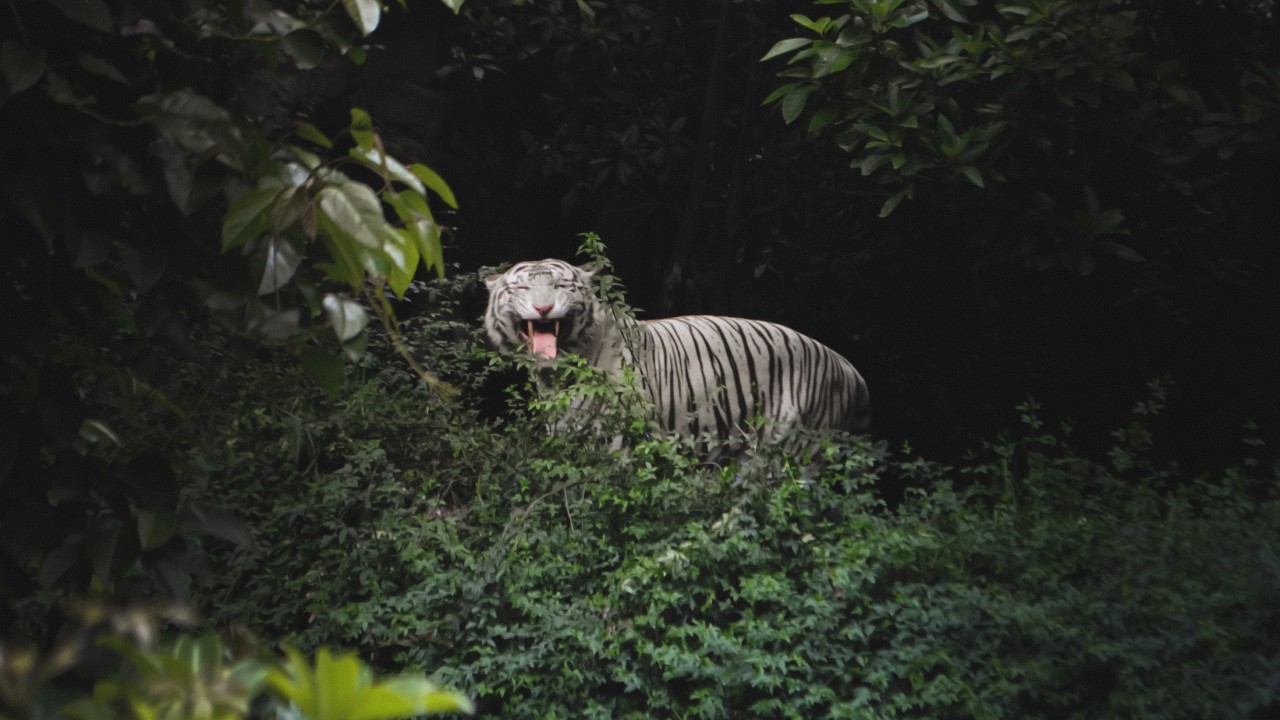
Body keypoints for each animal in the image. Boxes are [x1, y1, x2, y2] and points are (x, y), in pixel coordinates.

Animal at [483, 259, 871, 446]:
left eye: (561, 285)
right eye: (521, 288)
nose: (544, 308)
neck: (557, 374)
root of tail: (850, 369)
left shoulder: (621, 434)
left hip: (797, 442)